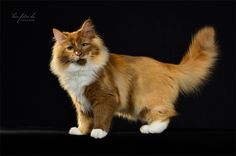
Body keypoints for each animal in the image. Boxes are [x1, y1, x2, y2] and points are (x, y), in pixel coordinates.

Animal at [49, 18, 218, 139]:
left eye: (84, 45)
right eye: (70, 48)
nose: (78, 53)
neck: (80, 71)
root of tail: (167, 65)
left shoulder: (105, 97)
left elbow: (101, 116)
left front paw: (98, 131)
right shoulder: (81, 102)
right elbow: (84, 118)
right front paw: (82, 131)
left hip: (145, 98)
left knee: (166, 114)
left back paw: (149, 129)